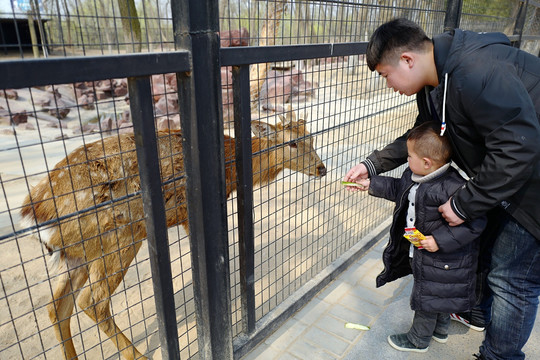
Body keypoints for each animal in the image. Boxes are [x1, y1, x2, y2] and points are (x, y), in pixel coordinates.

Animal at [20, 110, 324, 360]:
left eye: (311, 137)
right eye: (291, 142)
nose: (321, 168)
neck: (229, 168)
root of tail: (35, 213)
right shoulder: (191, 212)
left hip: (78, 252)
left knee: (57, 306)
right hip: (120, 234)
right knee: (92, 301)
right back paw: (139, 356)